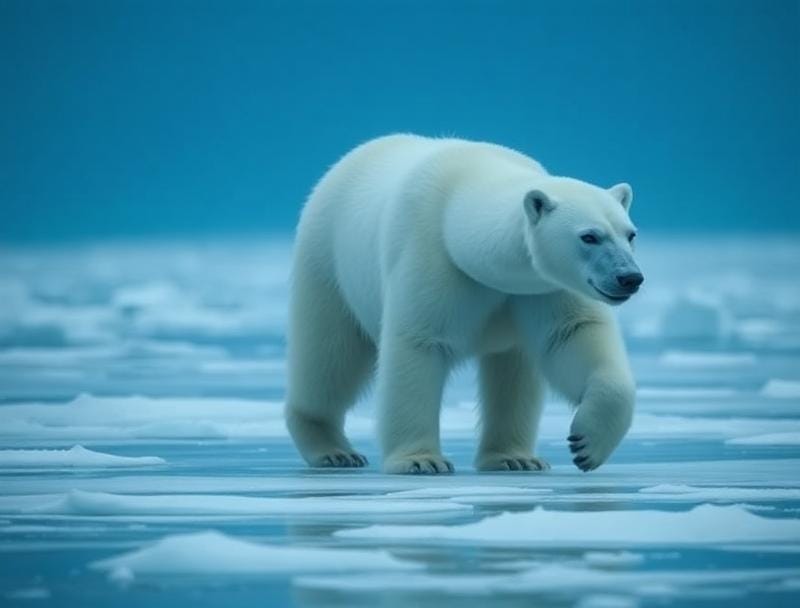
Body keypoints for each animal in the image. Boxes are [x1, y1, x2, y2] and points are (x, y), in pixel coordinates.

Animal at [285, 134, 643, 474]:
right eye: (589, 236)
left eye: (630, 234)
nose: (630, 278)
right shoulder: (430, 257)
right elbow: (418, 345)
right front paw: (420, 461)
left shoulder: (539, 288)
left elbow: (572, 335)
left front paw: (587, 443)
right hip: (327, 265)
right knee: (329, 356)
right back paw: (333, 450)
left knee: (513, 373)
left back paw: (515, 458)